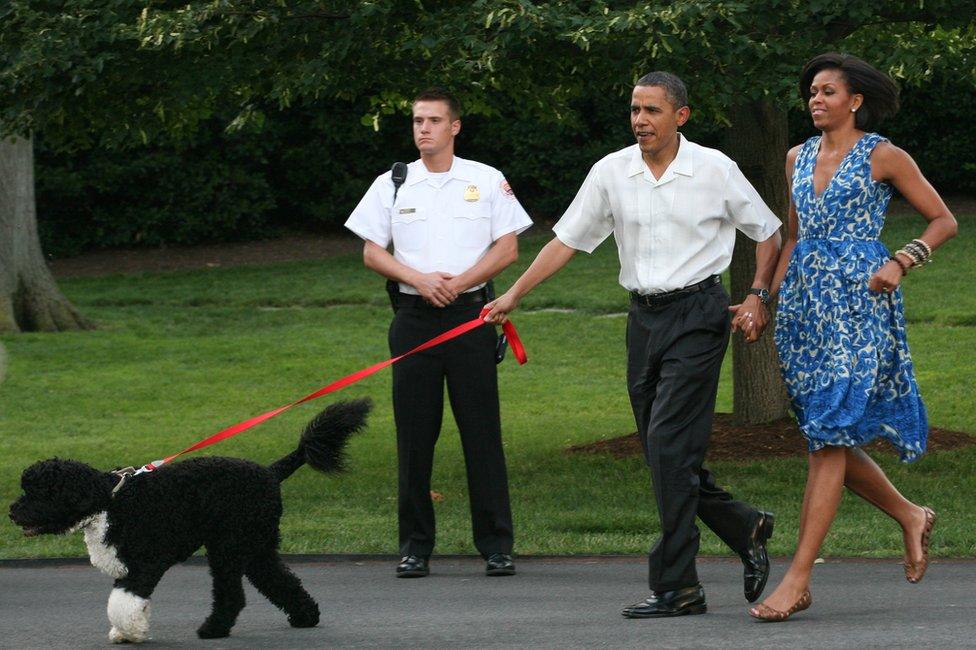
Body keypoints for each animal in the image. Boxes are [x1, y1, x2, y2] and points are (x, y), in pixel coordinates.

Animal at [7, 398, 372, 640]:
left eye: (38, 492)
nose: (11, 512)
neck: (110, 502)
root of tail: (271, 472)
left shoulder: (146, 563)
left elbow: (122, 602)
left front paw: (130, 632)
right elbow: (132, 603)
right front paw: (130, 630)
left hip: (228, 547)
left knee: (233, 595)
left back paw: (213, 629)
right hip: (255, 545)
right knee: (279, 579)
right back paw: (305, 616)